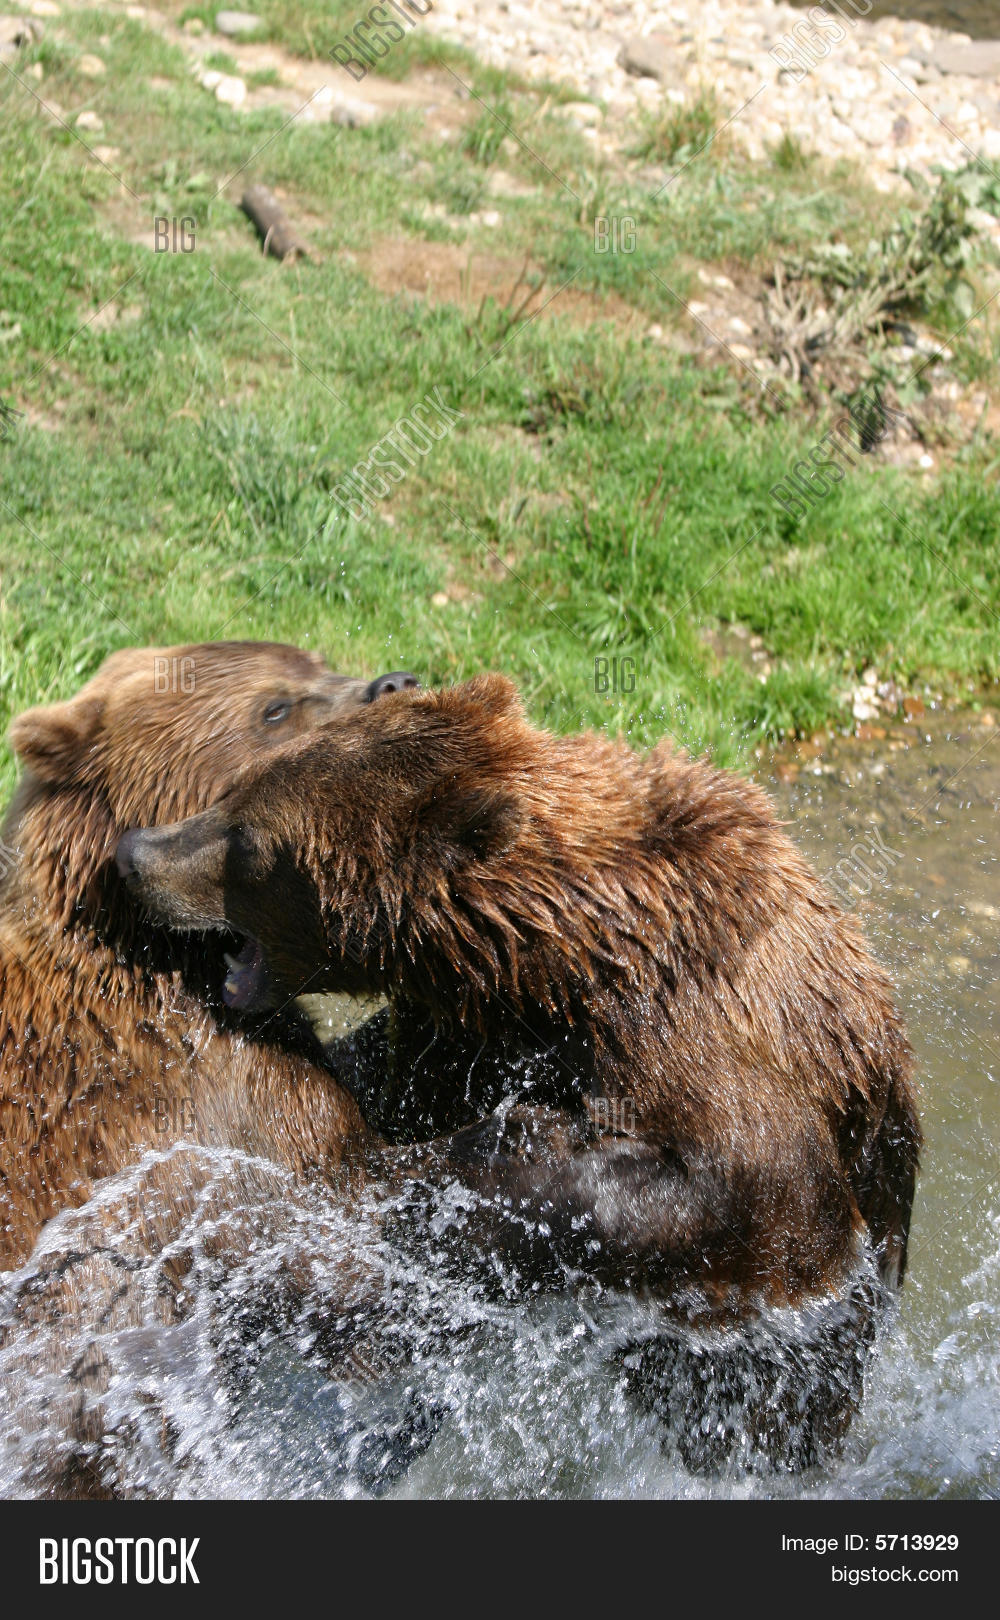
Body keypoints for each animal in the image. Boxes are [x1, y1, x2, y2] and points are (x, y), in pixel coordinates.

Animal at [118, 672, 922, 1470]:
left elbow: (767, 1195)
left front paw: (445, 1180)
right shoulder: (462, 1037)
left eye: (249, 841)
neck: (553, 960)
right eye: (235, 790)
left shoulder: (705, 1016)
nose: (134, 853)